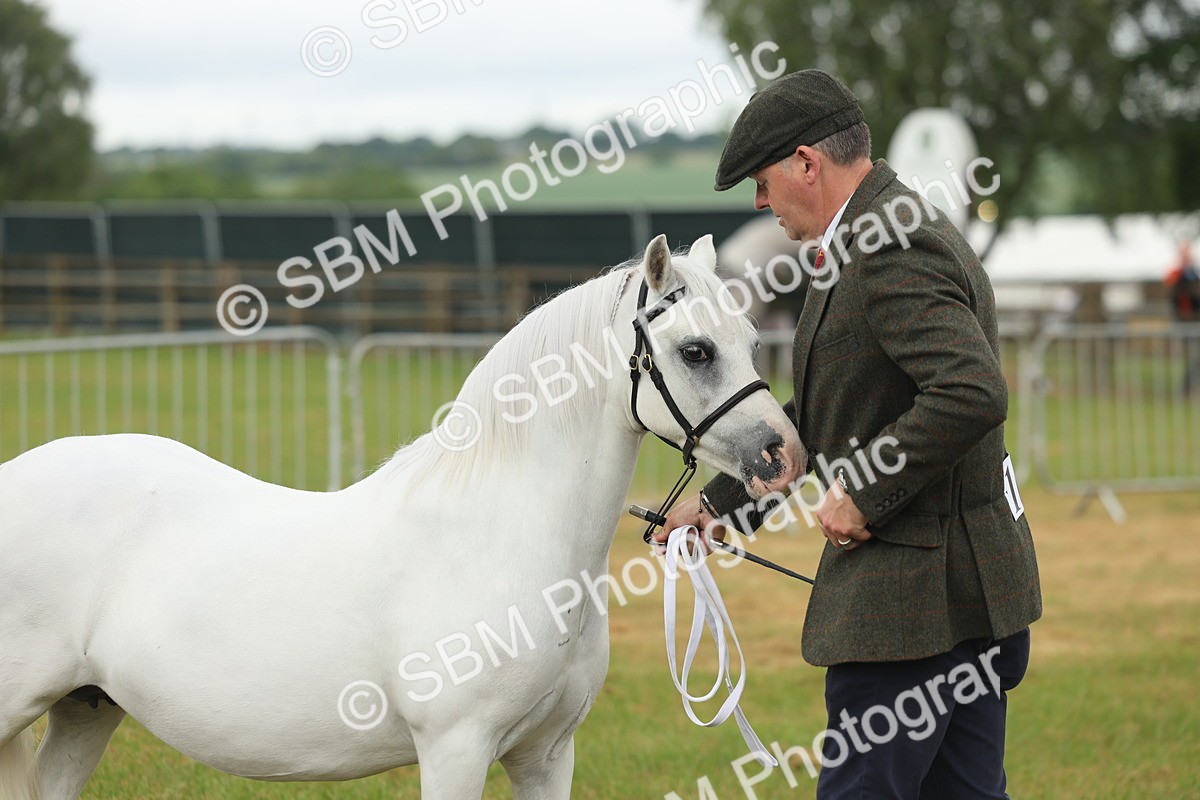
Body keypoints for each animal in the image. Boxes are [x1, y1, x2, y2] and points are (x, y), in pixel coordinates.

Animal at [0, 234, 804, 799]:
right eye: (695, 350)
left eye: (752, 341)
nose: (784, 454)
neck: (498, 536)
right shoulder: (454, 750)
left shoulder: (545, 755)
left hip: (86, 708)